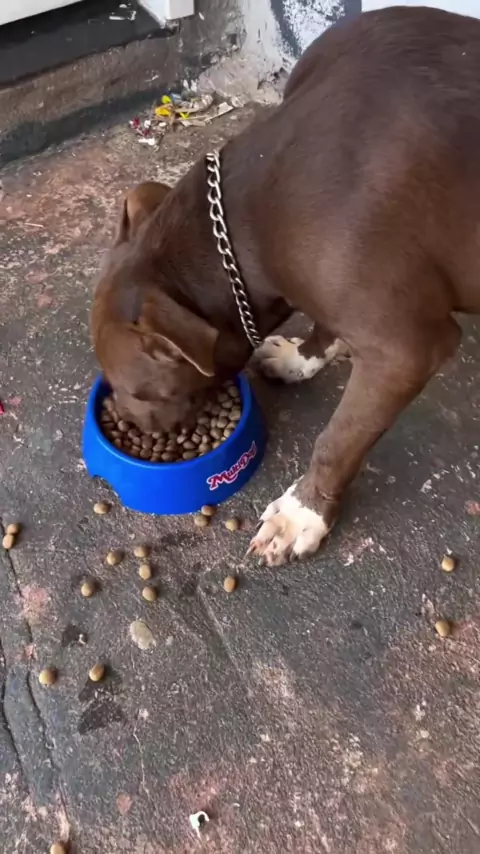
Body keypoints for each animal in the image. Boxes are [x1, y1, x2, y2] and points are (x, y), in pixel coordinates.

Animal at [92, 6, 480, 566]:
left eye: (141, 391)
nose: (129, 421)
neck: (243, 228)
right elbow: (323, 322)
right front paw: (303, 358)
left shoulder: (405, 350)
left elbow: (338, 439)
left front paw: (303, 514)